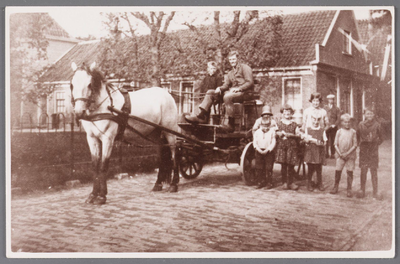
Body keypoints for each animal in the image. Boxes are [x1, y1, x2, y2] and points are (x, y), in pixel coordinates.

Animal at [70, 61, 180, 204]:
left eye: (89, 84)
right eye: (72, 85)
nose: (79, 112)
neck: (104, 106)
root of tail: (166, 93)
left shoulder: (108, 139)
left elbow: (103, 165)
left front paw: (102, 196)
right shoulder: (92, 139)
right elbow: (95, 166)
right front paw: (92, 195)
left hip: (170, 131)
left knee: (174, 154)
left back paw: (174, 184)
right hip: (155, 134)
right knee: (162, 156)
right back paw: (158, 184)